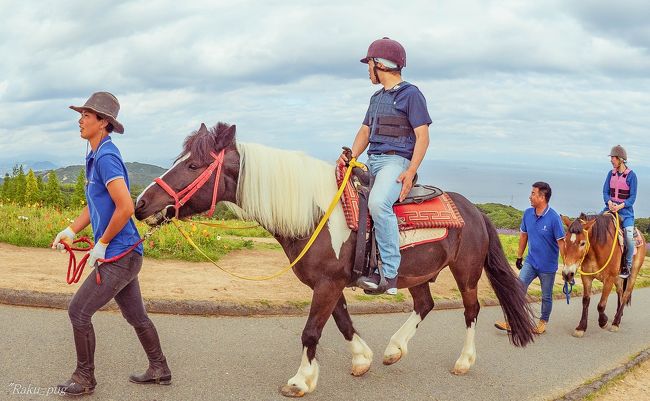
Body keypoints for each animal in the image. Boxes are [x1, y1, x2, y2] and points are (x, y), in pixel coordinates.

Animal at [134, 122, 536, 396]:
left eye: (193, 166)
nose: (141, 204)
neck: (315, 213)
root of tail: (473, 210)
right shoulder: (330, 283)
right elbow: (342, 322)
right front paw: (362, 359)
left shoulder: (327, 283)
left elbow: (312, 330)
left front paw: (300, 380)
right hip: (417, 274)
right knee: (425, 304)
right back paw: (394, 350)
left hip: (465, 271)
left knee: (470, 311)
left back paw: (463, 362)